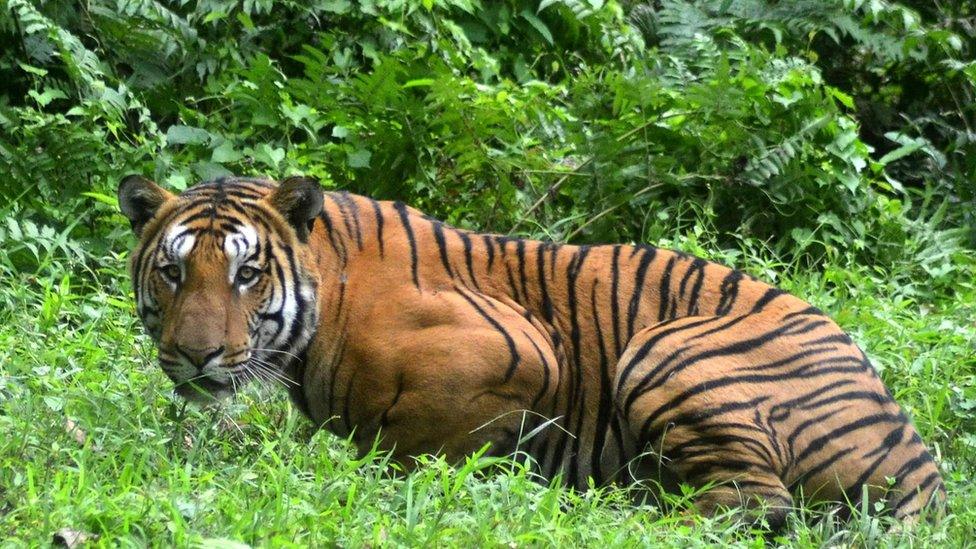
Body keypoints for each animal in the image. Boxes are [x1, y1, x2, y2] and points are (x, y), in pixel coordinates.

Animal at [116, 174, 944, 528]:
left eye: (247, 273)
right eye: (174, 270)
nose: (195, 355)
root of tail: (922, 463)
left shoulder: (522, 350)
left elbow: (415, 444)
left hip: (666, 347)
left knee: (751, 504)